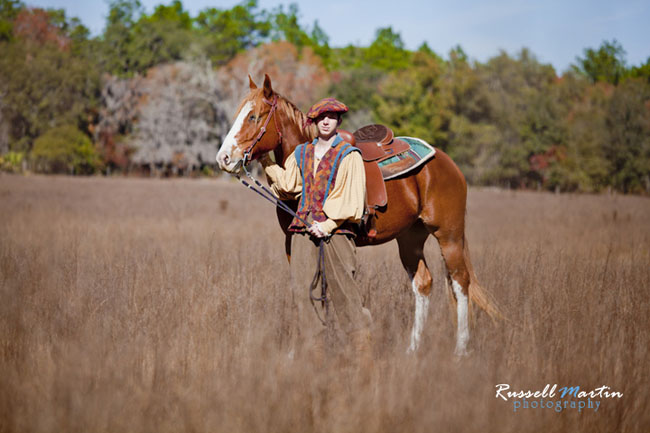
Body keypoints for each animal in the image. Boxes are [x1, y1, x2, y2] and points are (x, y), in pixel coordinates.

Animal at [215, 73, 498, 354]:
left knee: (460, 283)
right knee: (423, 283)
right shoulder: (292, 240)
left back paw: (460, 350)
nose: (224, 158)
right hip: (410, 239)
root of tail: (447, 163)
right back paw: (412, 350)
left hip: (449, 235)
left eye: (254, 117)